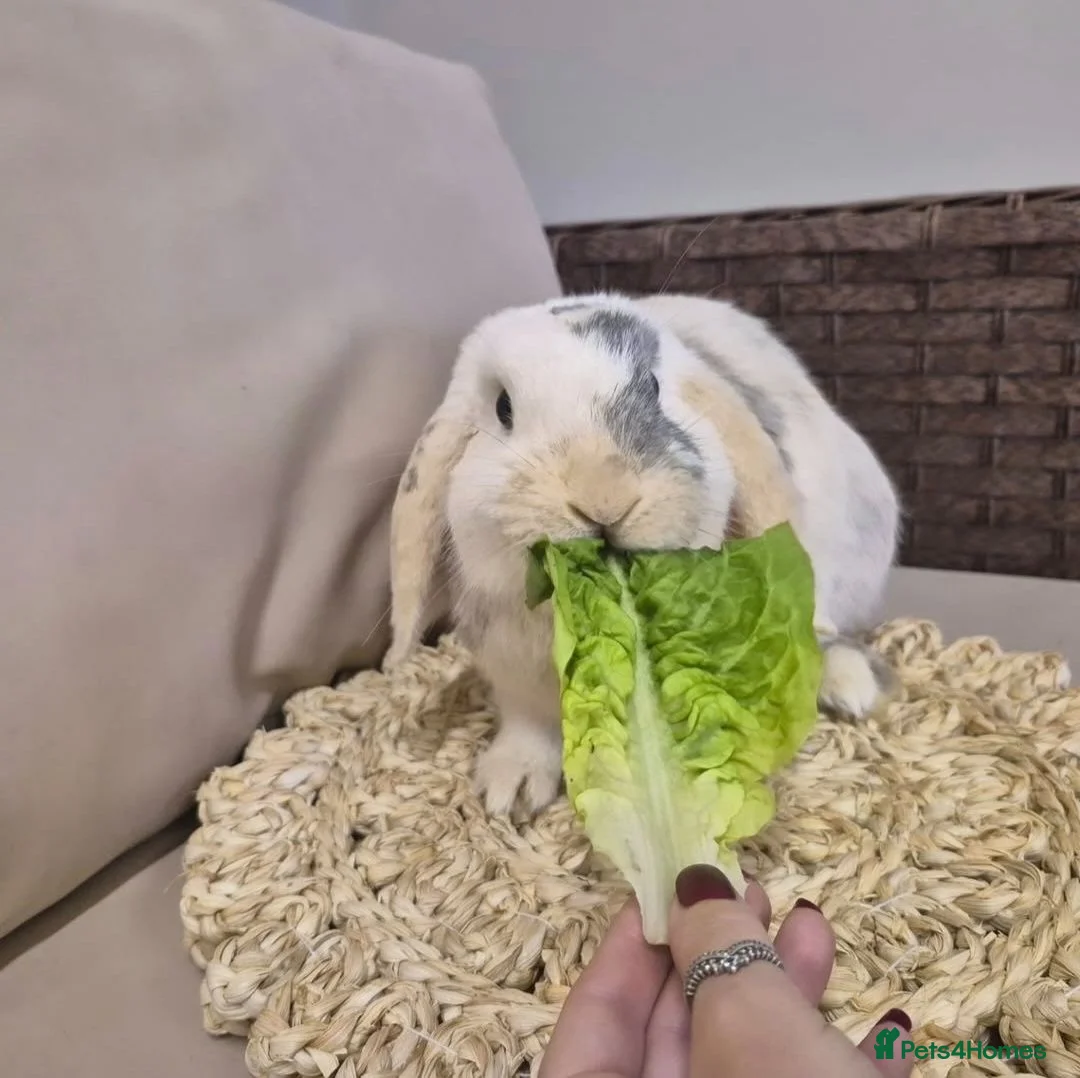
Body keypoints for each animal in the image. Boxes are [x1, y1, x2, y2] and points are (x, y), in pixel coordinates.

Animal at [385, 290, 901, 818]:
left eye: (653, 387)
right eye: (502, 408)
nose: (603, 498)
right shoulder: (514, 672)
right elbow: (531, 725)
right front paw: (510, 792)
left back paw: (852, 687)